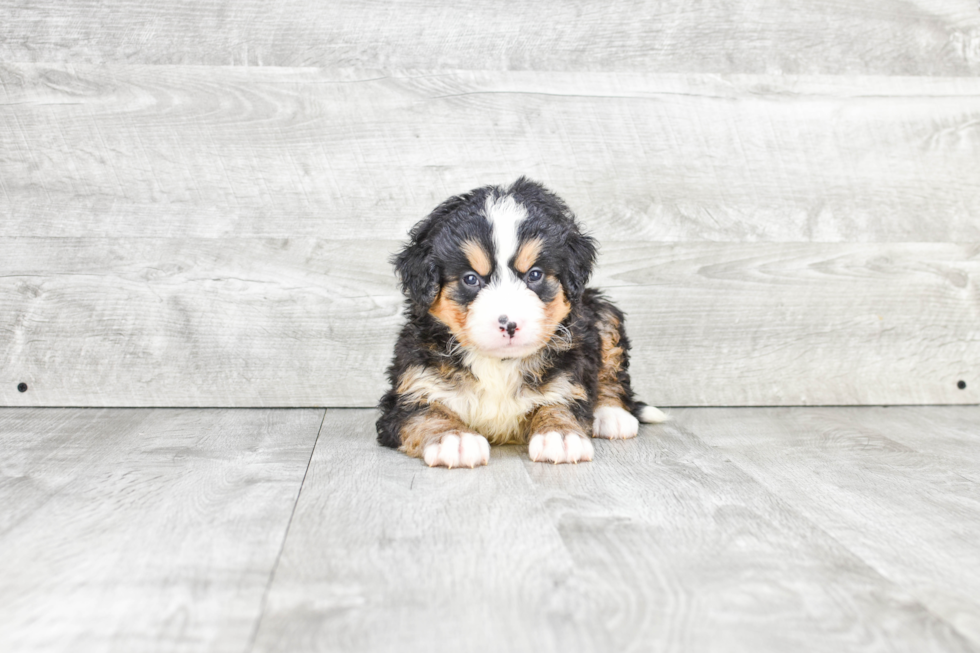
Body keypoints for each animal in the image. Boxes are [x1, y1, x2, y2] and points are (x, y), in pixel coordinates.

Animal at [376, 176, 668, 466]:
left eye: (535, 275)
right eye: (471, 279)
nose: (509, 324)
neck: (500, 364)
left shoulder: (568, 374)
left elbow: (559, 401)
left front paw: (559, 435)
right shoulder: (411, 387)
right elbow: (426, 412)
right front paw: (455, 439)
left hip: (603, 313)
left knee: (612, 370)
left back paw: (611, 414)